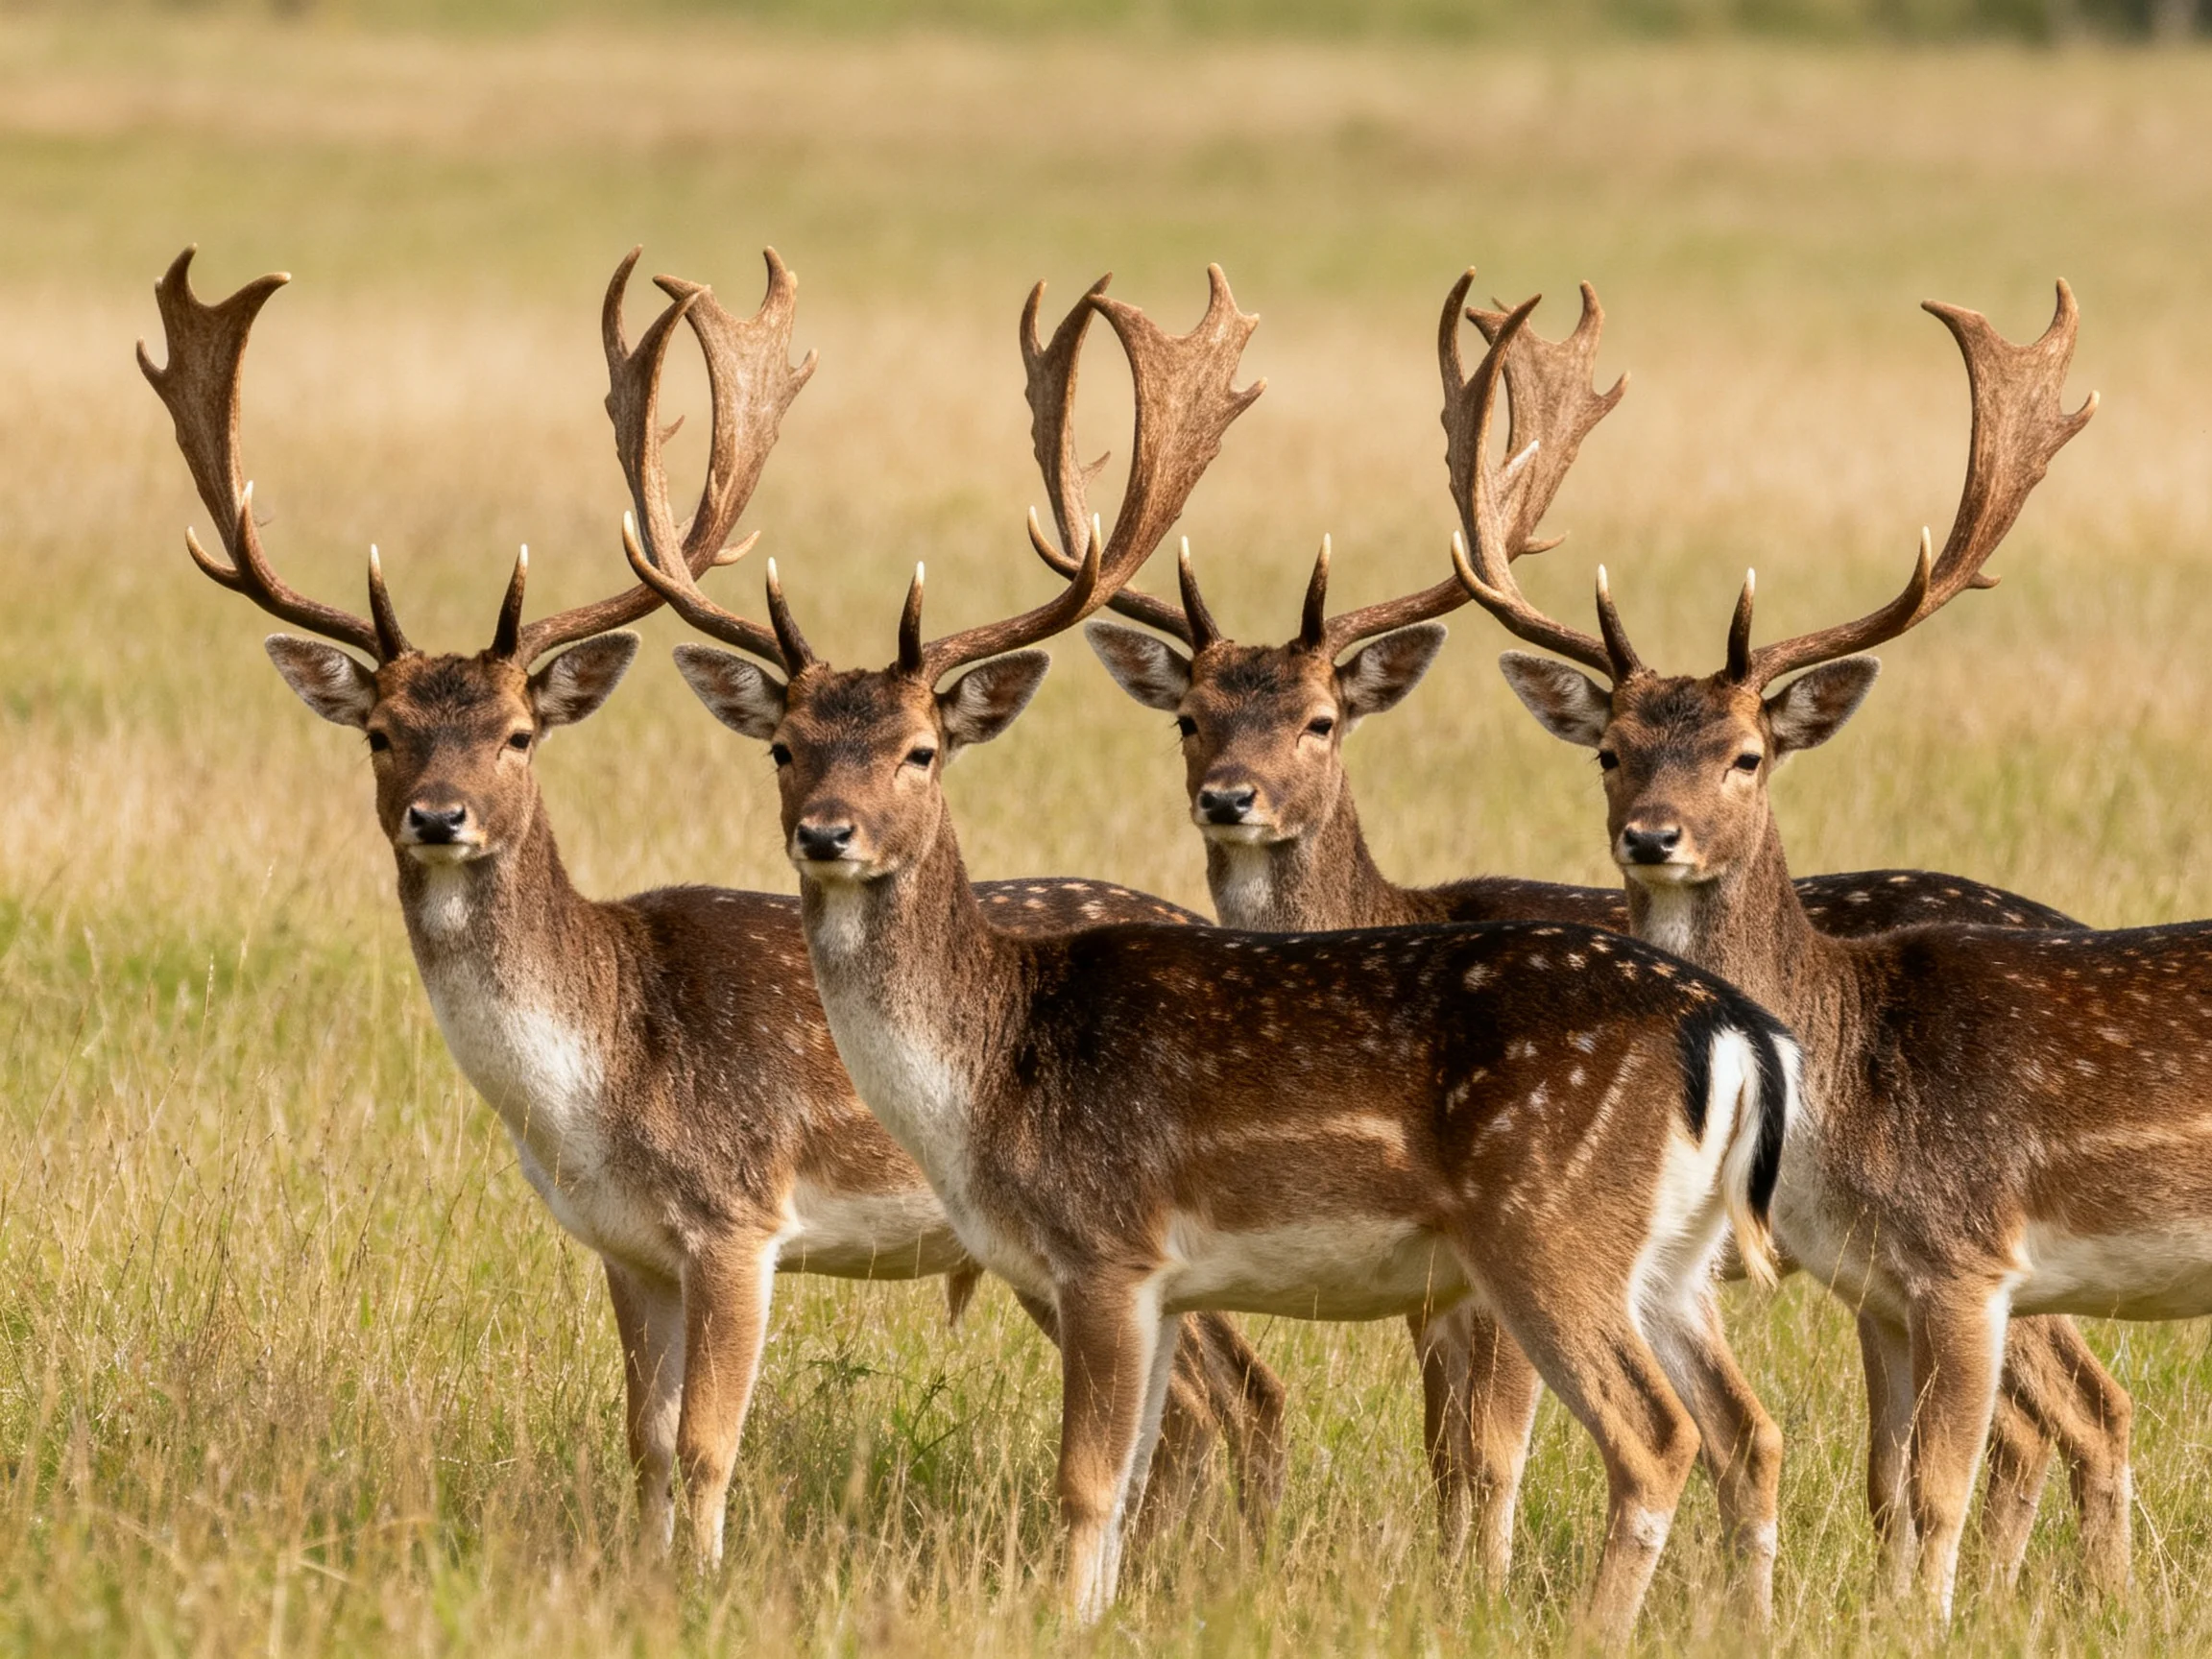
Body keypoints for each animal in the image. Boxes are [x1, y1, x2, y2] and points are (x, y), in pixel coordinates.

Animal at [137, 245, 1289, 1568]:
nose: (439, 815)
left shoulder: (739, 1217)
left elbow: (705, 1441)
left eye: (520, 732)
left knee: (1239, 1391)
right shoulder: (624, 1244)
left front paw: (705, 1581)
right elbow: (641, 1437)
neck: (589, 1087)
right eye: (381, 731)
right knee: (1213, 1399)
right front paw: (642, 1575)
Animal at [635, 265, 1805, 1643]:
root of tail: (1733, 1031)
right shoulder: (1141, 1279)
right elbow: (1138, 1476)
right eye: (785, 746)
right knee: (1749, 1427)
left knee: (1655, 1438)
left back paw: (1592, 1627)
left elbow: (1089, 1485)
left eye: (922, 749)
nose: (827, 832)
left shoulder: (1109, 1246)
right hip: (1674, 1256)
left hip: (1549, 1226)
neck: (990, 1075)